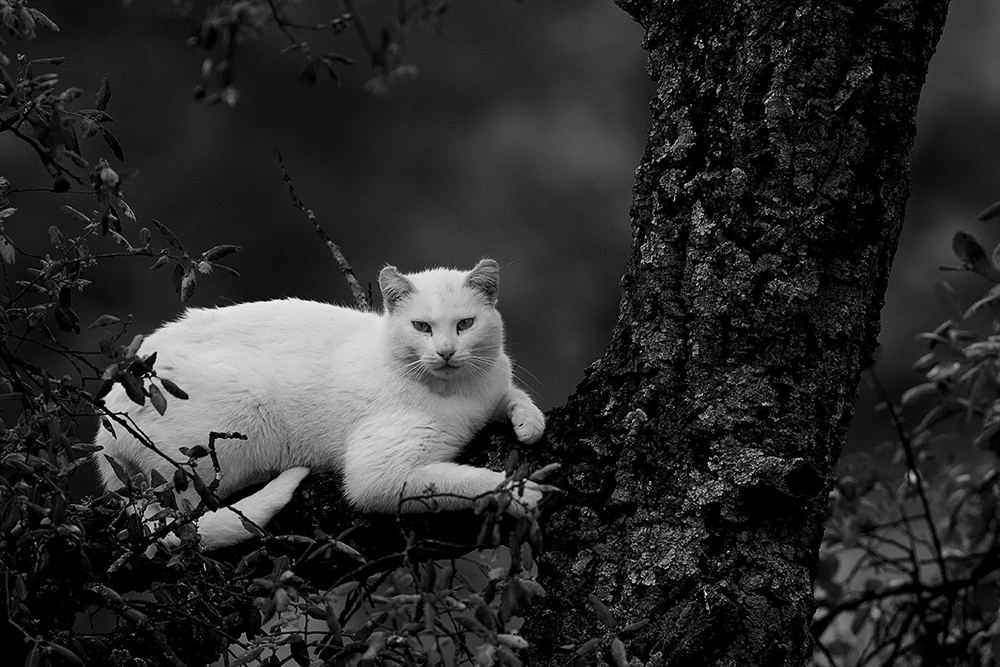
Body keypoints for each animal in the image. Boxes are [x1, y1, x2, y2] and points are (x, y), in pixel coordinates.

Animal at [94, 262, 548, 552]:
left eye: (465, 324)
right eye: (421, 327)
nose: (447, 352)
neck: (461, 394)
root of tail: (105, 434)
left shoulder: (495, 387)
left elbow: (514, 396)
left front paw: (529, 423)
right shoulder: (376, 476)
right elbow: (461, 480)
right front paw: (516, 491)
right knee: (184, 523)